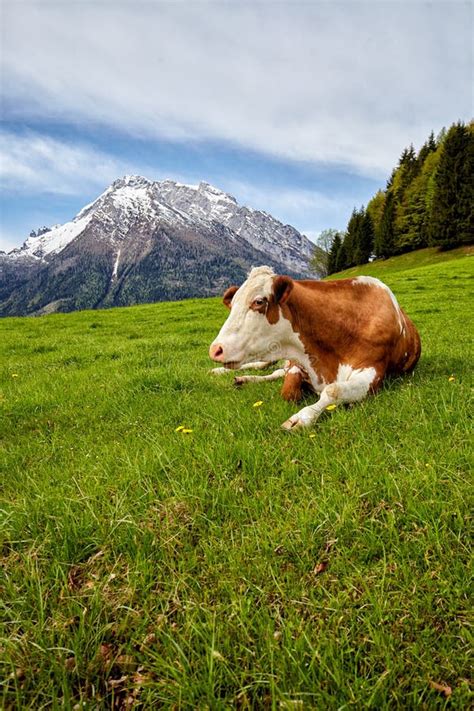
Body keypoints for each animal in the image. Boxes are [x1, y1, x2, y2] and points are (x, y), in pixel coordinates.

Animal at [209, 264, 420, 426]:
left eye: (259, 301)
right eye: (232, 304)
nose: (215, 349)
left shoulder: (373, 371)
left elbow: (333, 390)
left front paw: (301, 418)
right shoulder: (298, 363)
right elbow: (288, 391)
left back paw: (243, 379)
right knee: (265, 367)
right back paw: (225, 373)